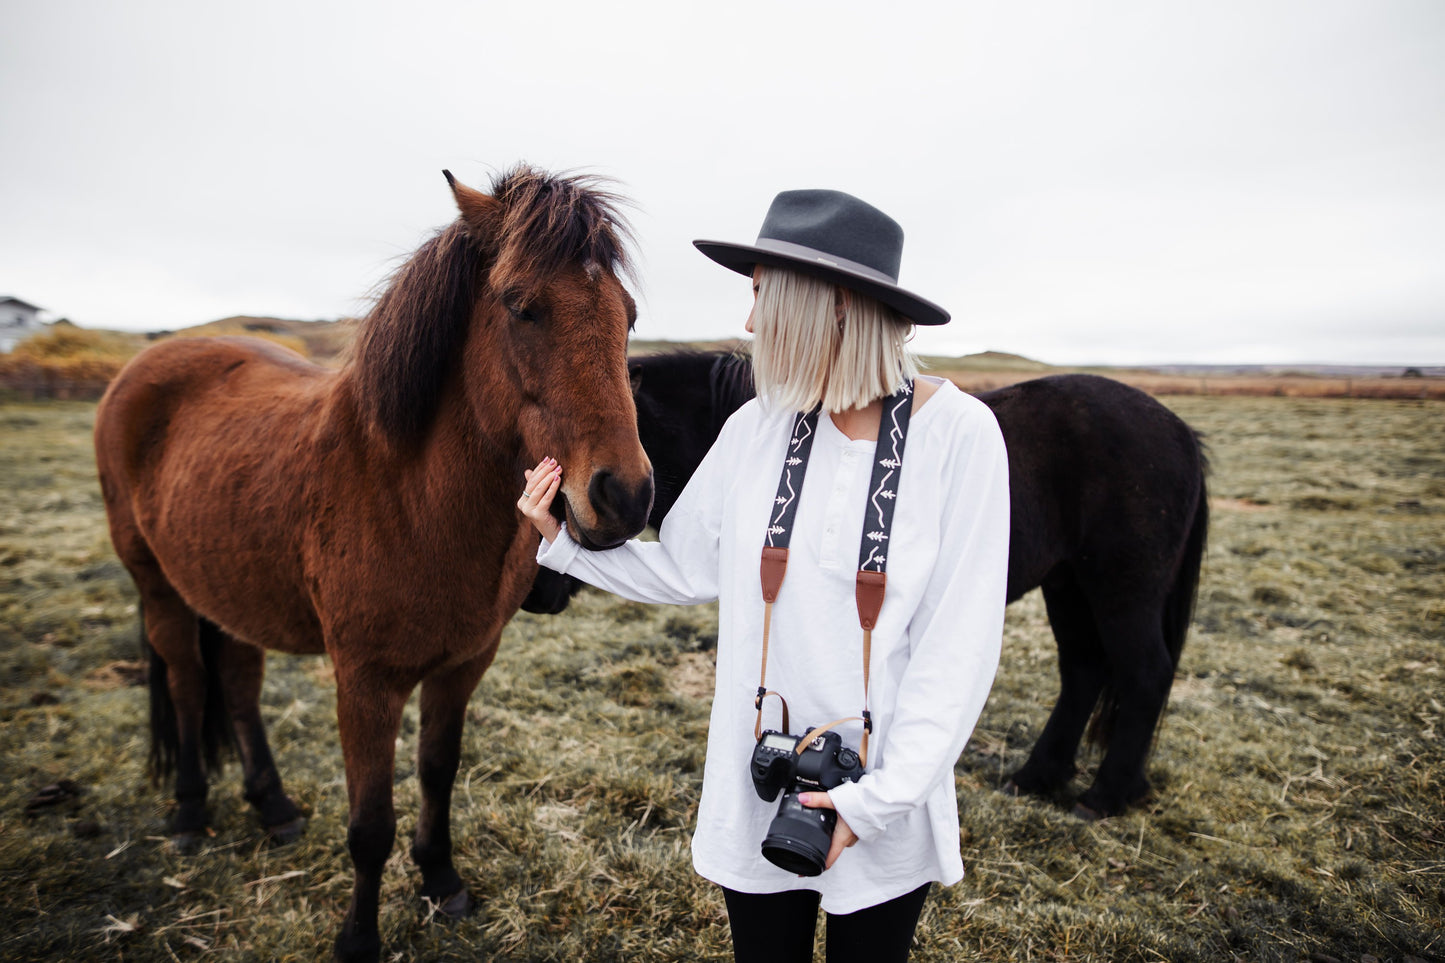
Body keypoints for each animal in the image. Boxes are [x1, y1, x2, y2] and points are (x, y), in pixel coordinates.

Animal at [91, 167, 656, 960]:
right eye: (523, 307)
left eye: (627, 316)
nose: (624, 496)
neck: (406, 492)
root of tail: (142, 369)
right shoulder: (364, 682)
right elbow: (368, 825)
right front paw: (358, 938)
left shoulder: (462, 665)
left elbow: (437, 773)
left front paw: (442, 882)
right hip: (158, 587)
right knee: (186, 679)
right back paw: (190, 814)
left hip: (225, 587)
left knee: (236, 682)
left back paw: (274, 807)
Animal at [523, 348, 1208, 815]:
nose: (534, 593)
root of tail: (1178, 430)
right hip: (1070, 586)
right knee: (1084, 671)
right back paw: (1039, 777)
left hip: (1119, 590)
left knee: (1143, 672)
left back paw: (1106, 796)